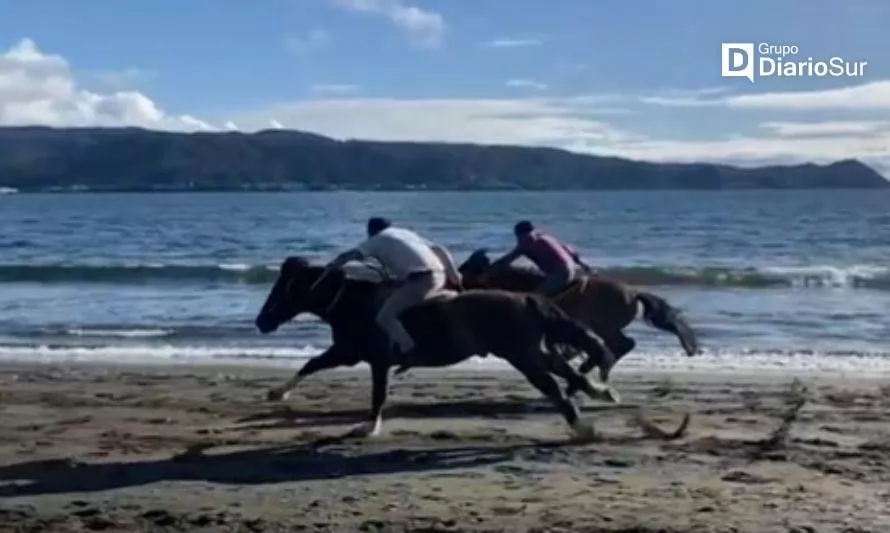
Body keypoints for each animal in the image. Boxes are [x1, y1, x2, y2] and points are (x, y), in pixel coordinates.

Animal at [253, 256, 624, 438]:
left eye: (283, 289)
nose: (261, 322)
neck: (353, 303)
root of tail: (526, 299)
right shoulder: (354, 355)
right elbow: (312, 365)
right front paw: (276, 392)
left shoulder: (362, 357)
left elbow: (369, 390)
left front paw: (368, 427)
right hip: (533, 352)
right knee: (565, 371)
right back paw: (600, 392)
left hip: (523, 356)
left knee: (553, 385)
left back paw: (583, 425)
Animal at [458, 248, 700, 378]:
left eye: (470, 269)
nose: (458, 281)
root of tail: (633, 293)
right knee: (621, 345)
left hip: (606, 327)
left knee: (623, 344)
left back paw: (592, 367)